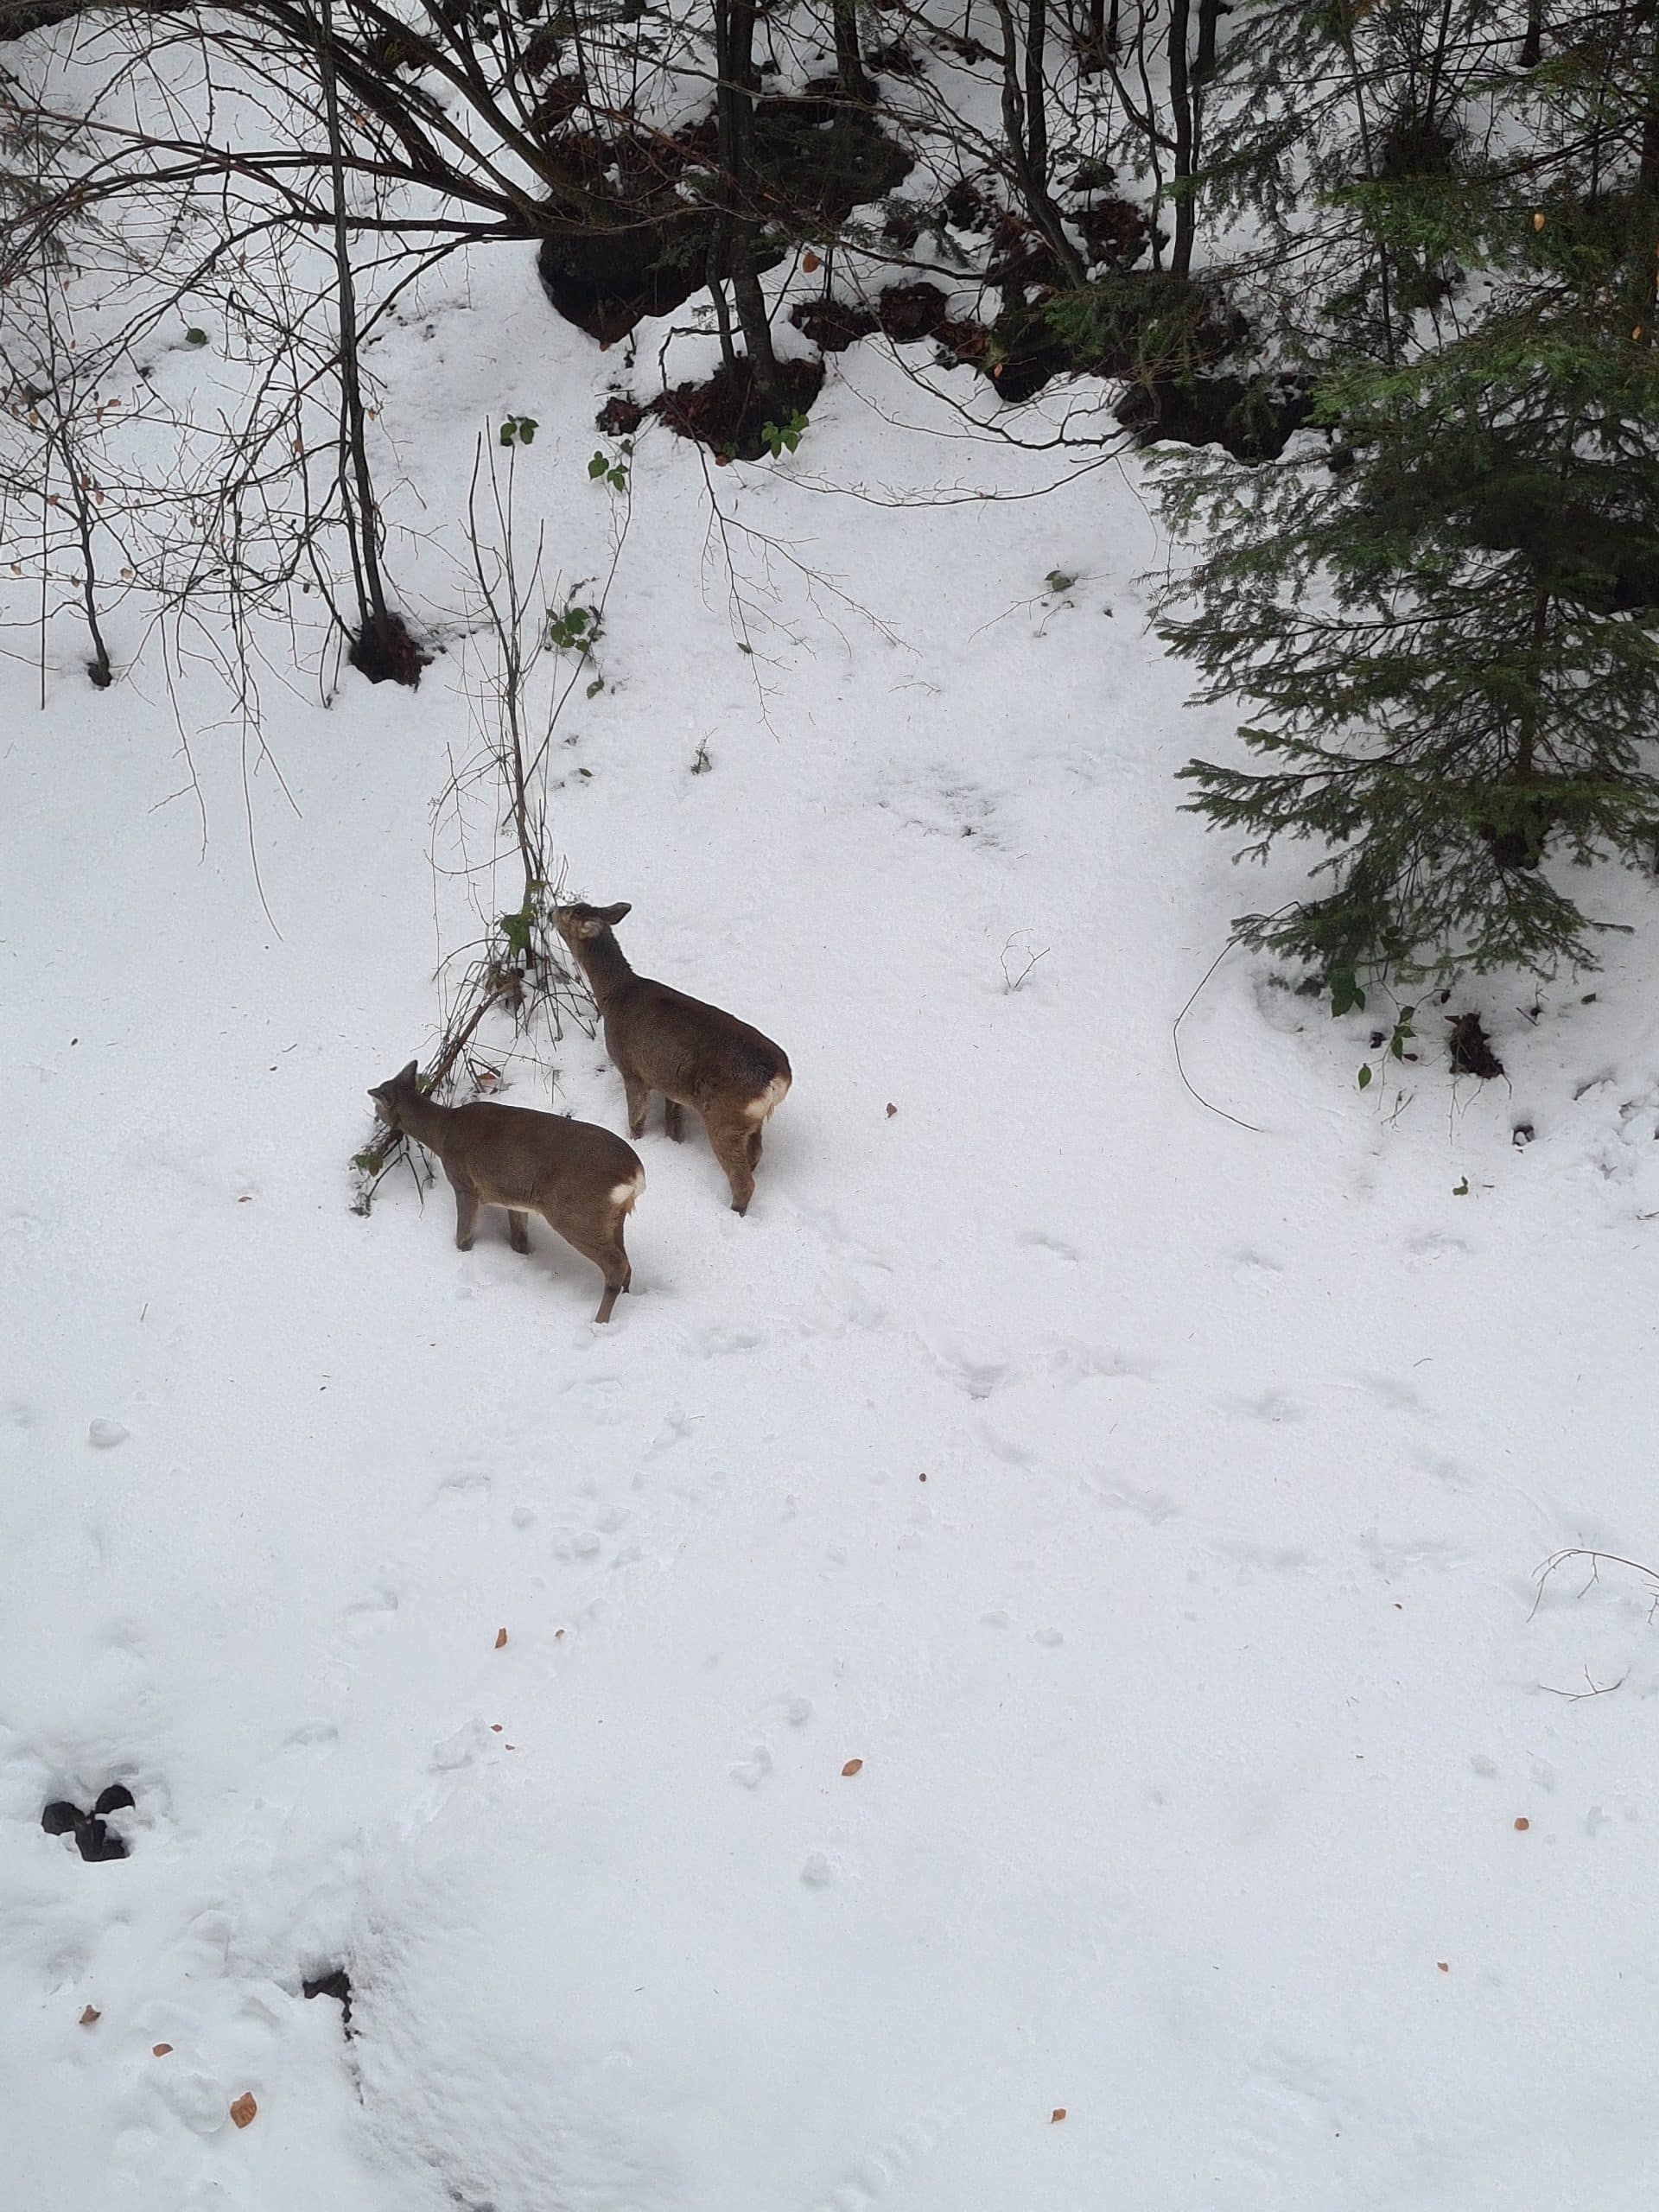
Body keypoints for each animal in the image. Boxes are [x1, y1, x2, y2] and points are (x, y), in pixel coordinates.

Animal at [367, 1061, 645, 1323]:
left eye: (377, 1104)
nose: (374, 1121)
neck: (443, 1133)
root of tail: (635, 1173)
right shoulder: (514, 1199)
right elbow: (519, 1241)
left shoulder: (464, 1184)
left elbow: (463, 1237)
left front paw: (461, 1254)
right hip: (613, 1217)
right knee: (626, 1262)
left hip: (574, 1212)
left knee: (616, 1264)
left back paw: (599, 1321)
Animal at [552, 901, 791, 1216]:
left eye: (571, 913)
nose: (551, 911)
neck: (616, 996)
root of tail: (779, 1077)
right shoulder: (670, 1085)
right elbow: (673, 1123)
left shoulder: (633, 1071)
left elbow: (636, 1120)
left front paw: (636, 1142)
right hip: (749, 1120)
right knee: (756, 1156)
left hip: (724, 1116)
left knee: (744, 1180)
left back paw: (732, 1210)